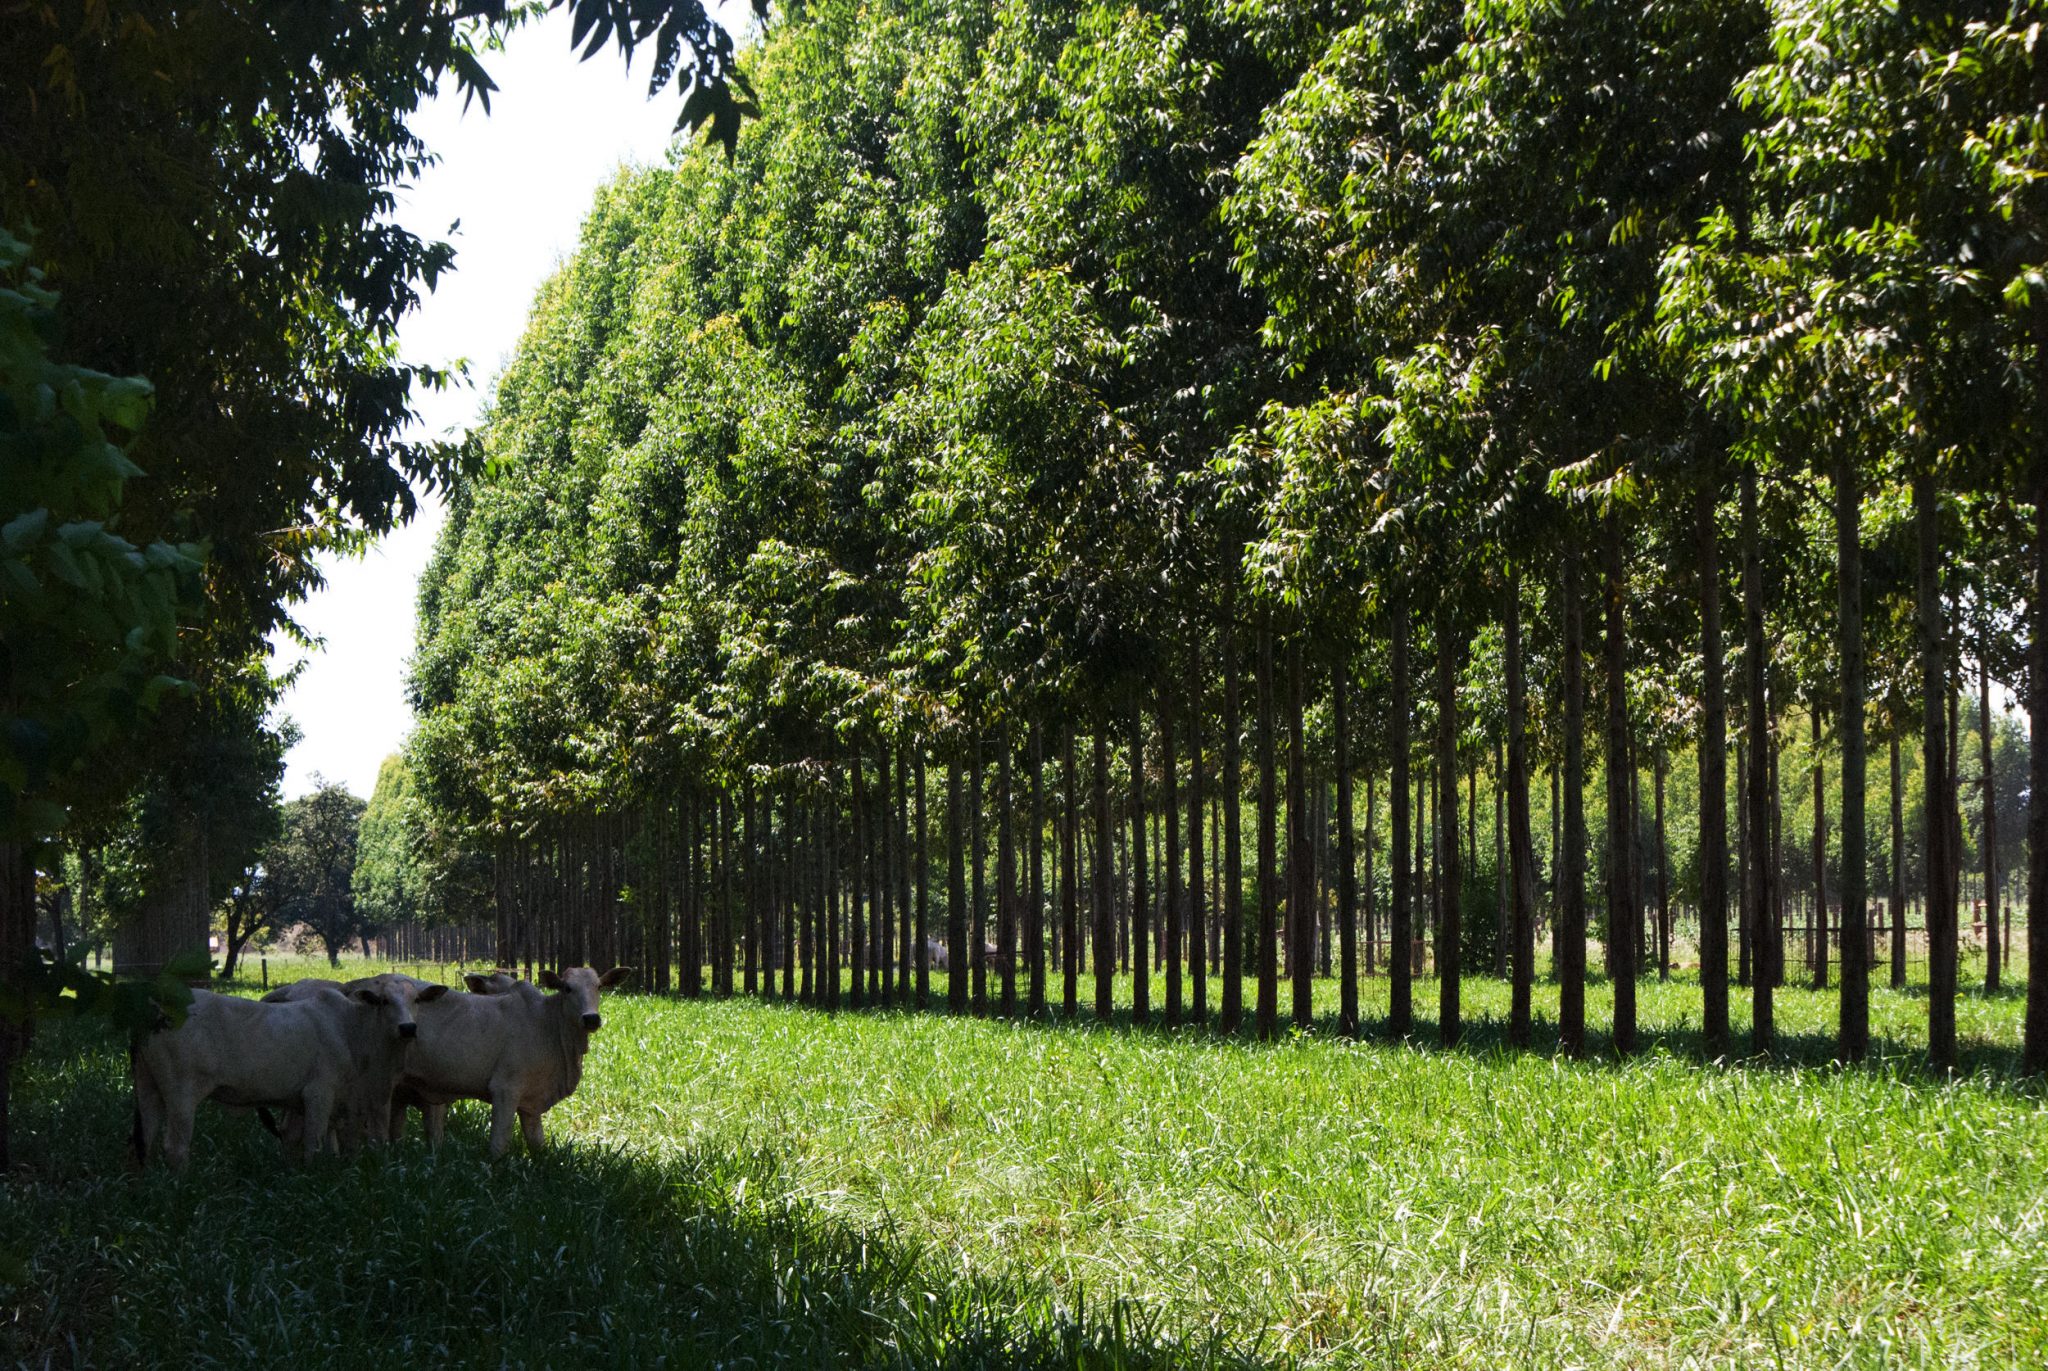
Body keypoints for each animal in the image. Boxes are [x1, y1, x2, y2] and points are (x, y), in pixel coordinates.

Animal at [133, 979, 444, 1172]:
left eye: (416, 999)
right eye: (383, 1001)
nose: (408, 1028)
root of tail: (156, 1011)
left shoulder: (305, 1102)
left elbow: (294, 1140)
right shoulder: (319, 1093)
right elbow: (313, 1143)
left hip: (148, 1087)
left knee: (144, 1140)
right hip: (181, 1093)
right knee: (175, 1147)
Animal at [395, 963, 626, 1155]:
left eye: (598, 987)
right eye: (567, 988)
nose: (591, 1018)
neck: (548, 1023)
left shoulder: (531, 1104)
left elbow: (538, 1145)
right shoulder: (505, 1090)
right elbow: (499, 1146)